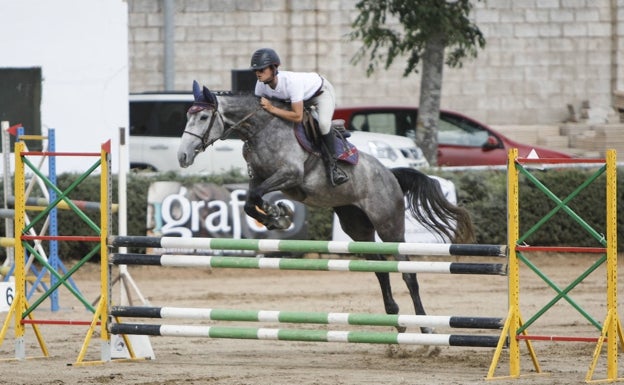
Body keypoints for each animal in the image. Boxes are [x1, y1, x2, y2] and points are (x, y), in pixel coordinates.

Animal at [178, 80, 476, 332]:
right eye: (187, 116)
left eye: (203, 117)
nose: (182, 156)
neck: (261, 129)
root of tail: (391, 174)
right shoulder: (259, 178)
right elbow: (251, 203)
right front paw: (277, 216)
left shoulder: (290, 175)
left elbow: (256, 198)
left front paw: (277, 215)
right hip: (357, 226)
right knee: (379, 268)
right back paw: (394, 316)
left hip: (390, 226)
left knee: (408, 273)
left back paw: (425, 326)